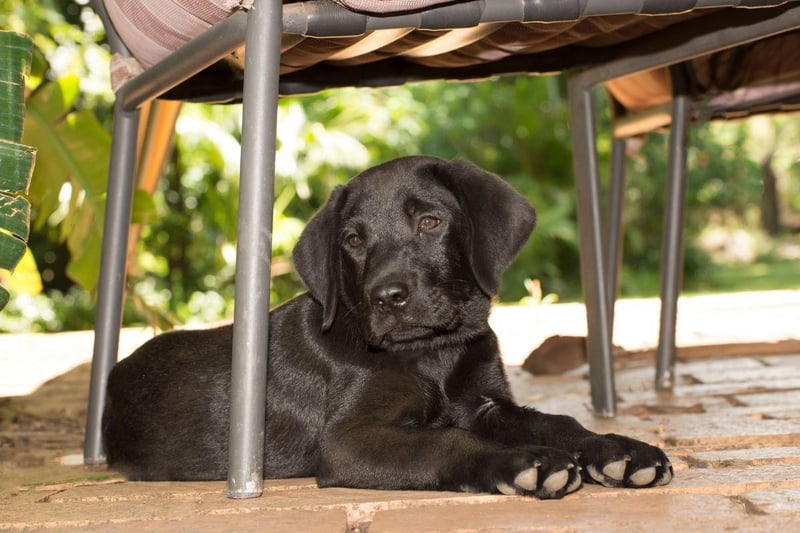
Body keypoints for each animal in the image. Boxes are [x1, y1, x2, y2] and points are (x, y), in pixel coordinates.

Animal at [103, 156, 672, 496]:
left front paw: (619, 450)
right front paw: (521, 462)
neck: (434, 354)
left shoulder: (488, 404)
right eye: (353, 241)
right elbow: (446, 442)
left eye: (430, 222)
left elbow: (559, 421)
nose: (387, 297)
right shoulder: (349, 440)